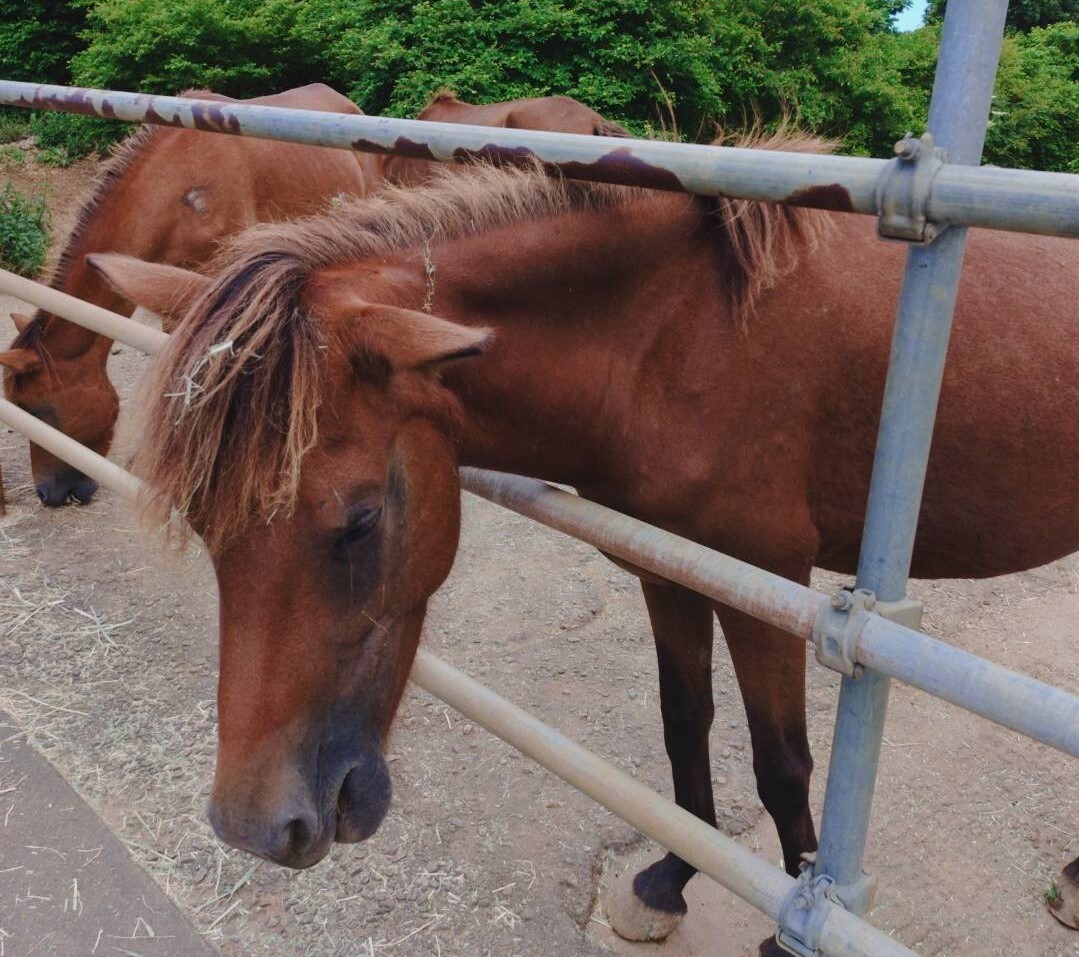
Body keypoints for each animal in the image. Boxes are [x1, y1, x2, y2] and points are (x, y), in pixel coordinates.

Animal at [89, 151, 1079, 947]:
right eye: (204, 520)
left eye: (360, 519)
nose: (257, 825)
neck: (680, 336)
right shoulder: (668, 570)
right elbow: (685, 725)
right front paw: (669, 881)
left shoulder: (768, 585)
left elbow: (781, 763)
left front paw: (783, 923)